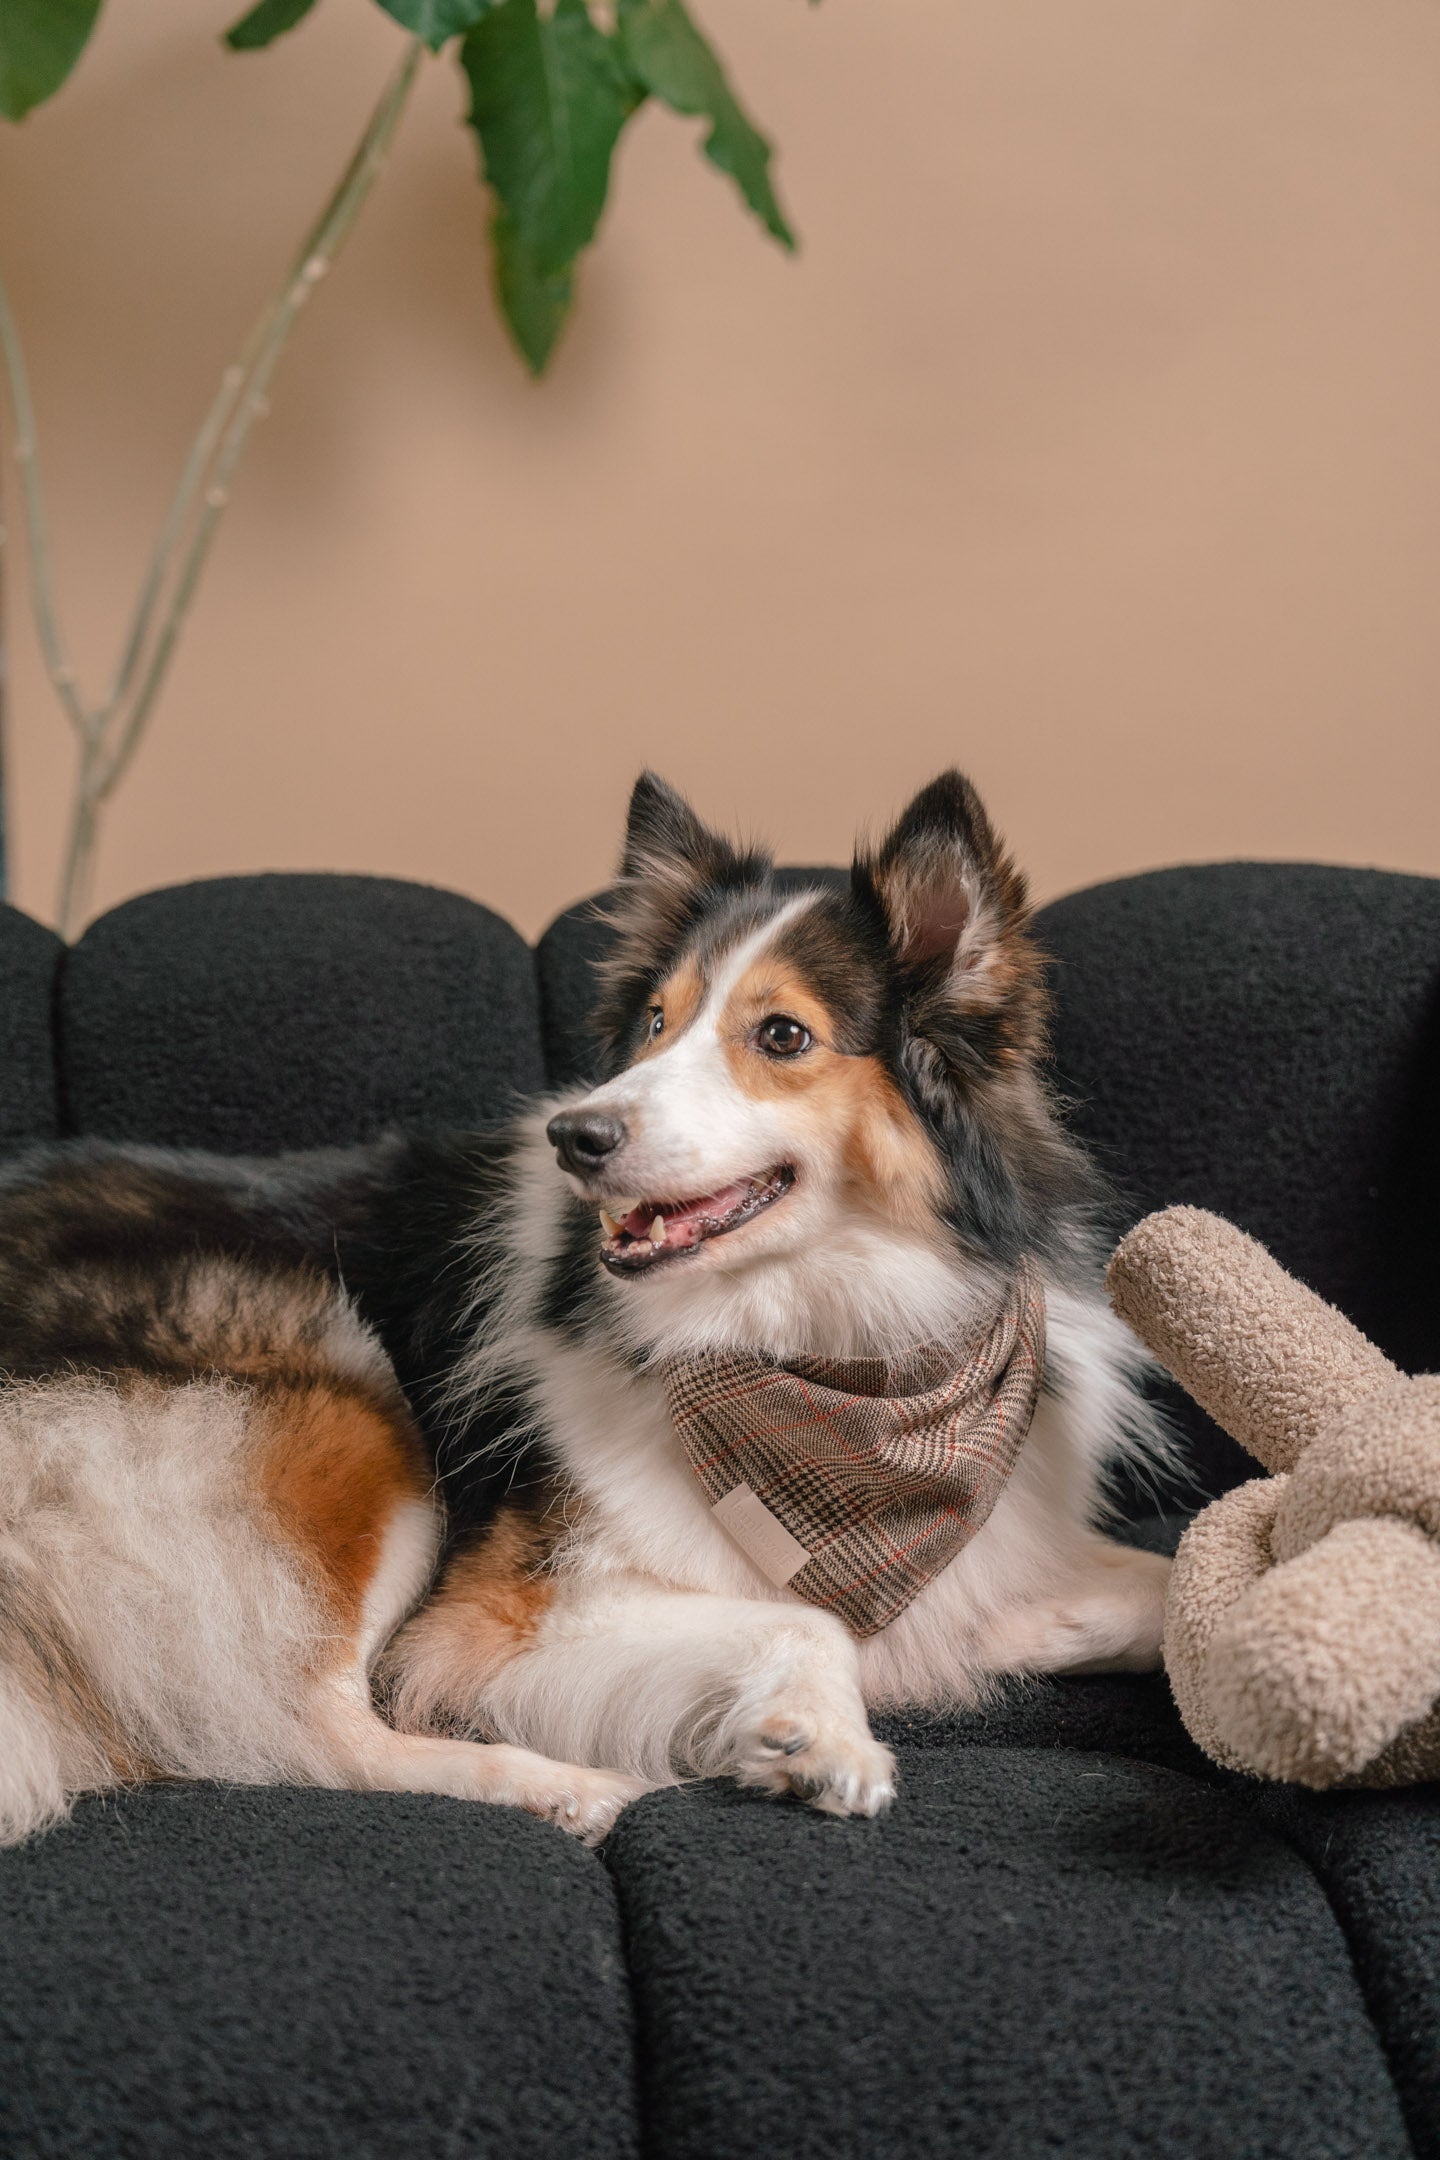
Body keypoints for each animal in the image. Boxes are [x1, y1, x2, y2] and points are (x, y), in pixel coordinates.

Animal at [0, 768, 1174, 1848]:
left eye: (783, 1036)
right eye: (655, 1024)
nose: (577, 1136)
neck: (826, 1359)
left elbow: (1158, 1579)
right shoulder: (503, 1614)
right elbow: (806, 1617)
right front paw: (818, 1738)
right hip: (345, 1403)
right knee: (305, 1727)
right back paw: (560, 1788)